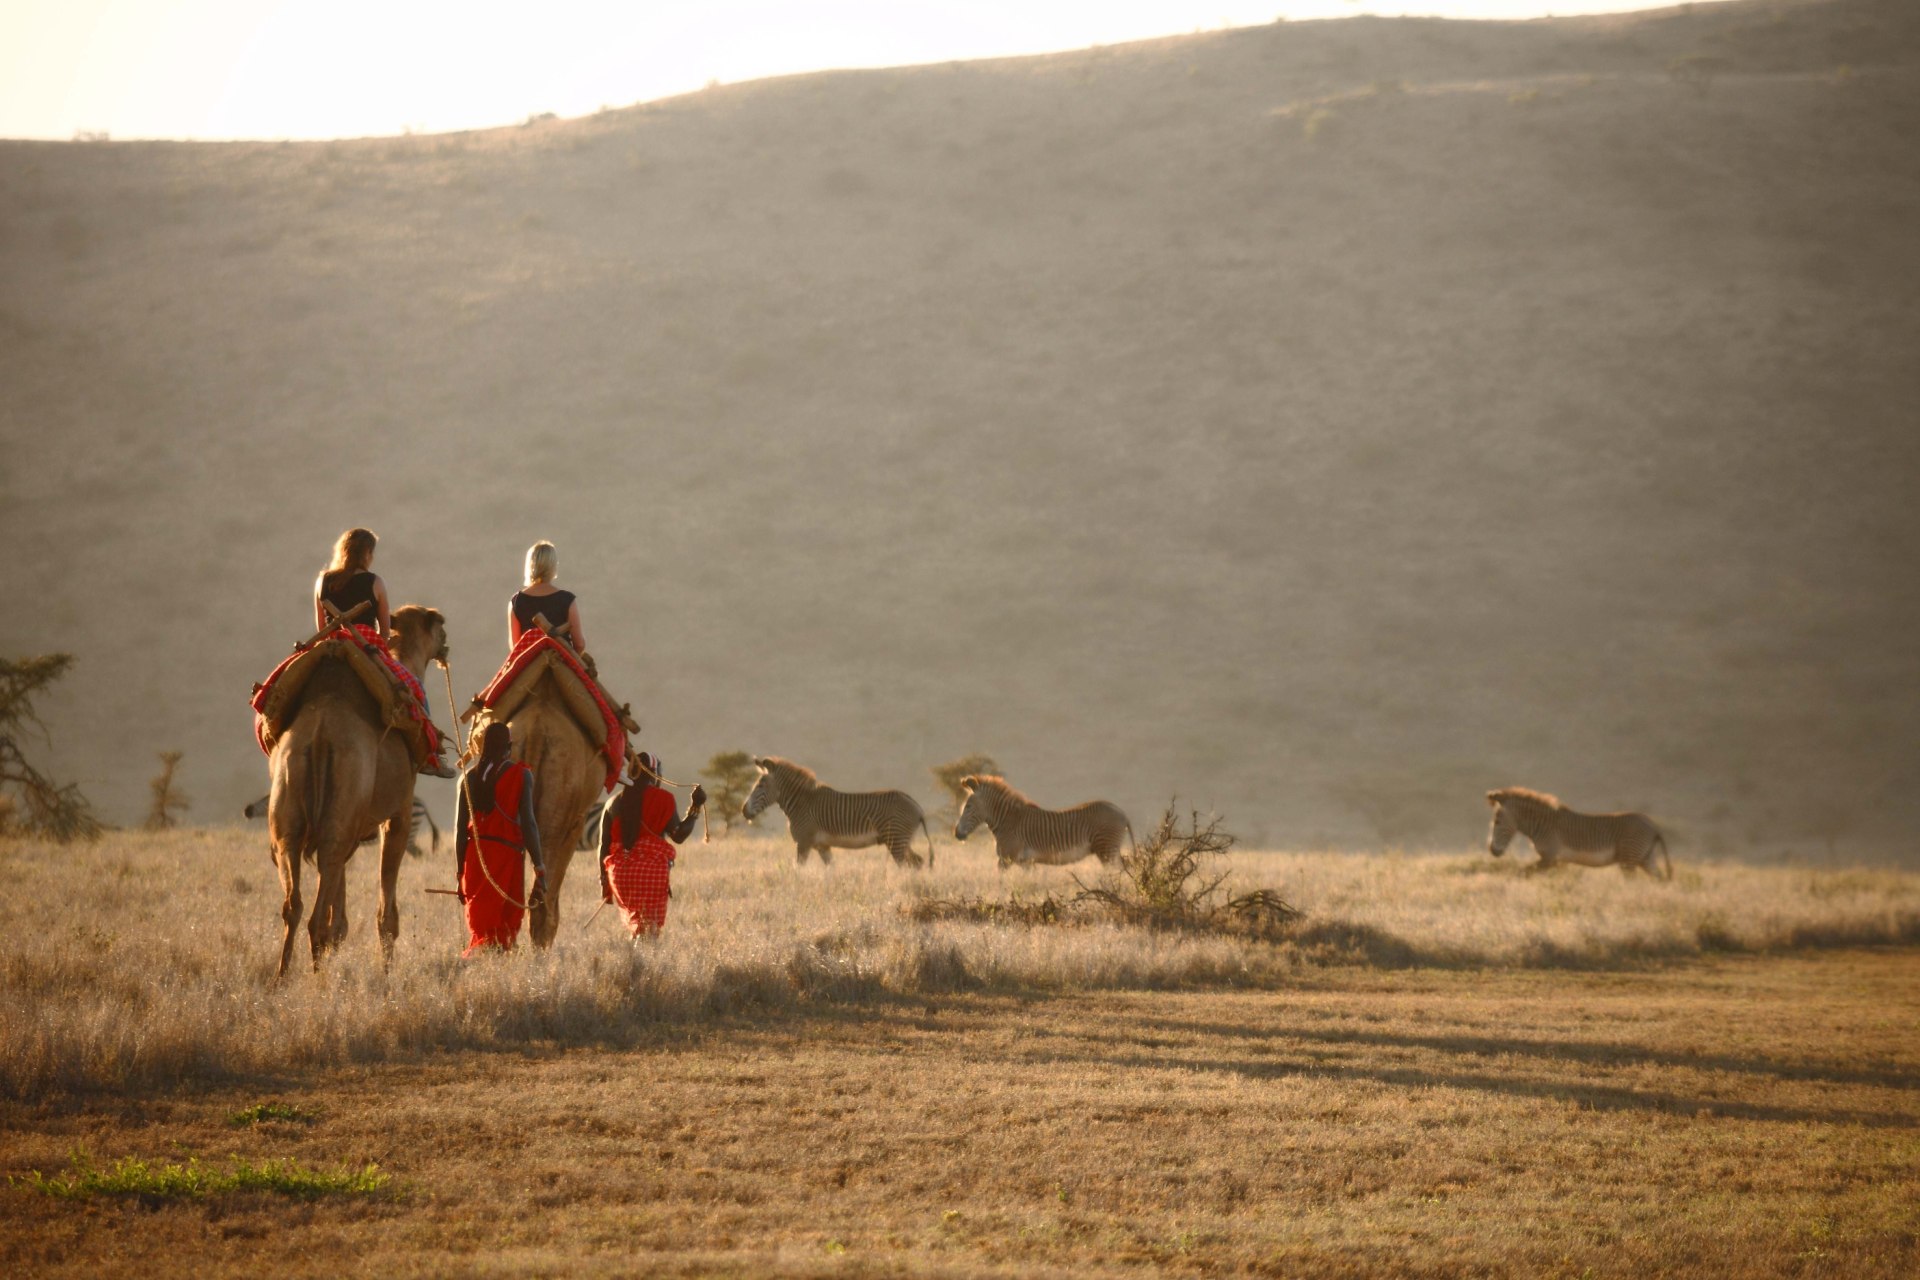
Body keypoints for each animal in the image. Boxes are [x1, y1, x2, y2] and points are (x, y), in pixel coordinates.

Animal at [264, 606, 447, 974]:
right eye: (438, 626)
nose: (446, 640)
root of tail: (320, 735)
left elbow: (340, 908)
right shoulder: (398, 812)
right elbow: (386, 910)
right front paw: (386, 969)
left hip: (293, 810)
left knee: (295, 900)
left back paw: (283, 975)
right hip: (345, 805)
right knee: (316, 913)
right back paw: (316, 978)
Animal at [741, 759, 936, 871]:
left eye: (760, 785)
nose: (743, 811)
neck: (801, 803)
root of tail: (917, 806)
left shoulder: (803, 842)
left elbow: (798, 870)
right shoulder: (822, 846)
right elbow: (832, 871)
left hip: (896, 840)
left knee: (909, 865)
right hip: (902, 840)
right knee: (918, 862)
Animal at [956, 771, 1128, 871]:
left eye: (968, 806)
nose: (957, 834)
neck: (1008, 821)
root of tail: (1120, 811)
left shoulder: (1006, 858)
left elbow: (1001, 882)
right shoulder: (1026, 862)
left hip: (1106, 849)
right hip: (1109, 850)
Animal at [1482, 790, 1666, 882]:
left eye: (1497, 821)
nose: (1492, 850)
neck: (1543, 824)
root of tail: (1653, 826)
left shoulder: (1550, 858)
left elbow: (1522, 872)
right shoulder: (1558, 862)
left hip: (1629, 860)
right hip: (1645, 858)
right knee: (1660, 880)